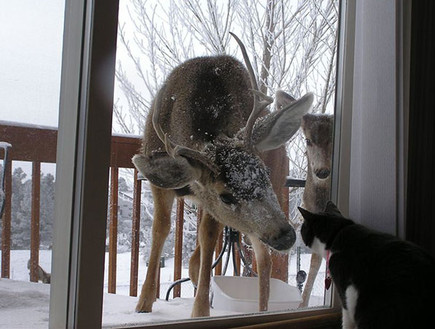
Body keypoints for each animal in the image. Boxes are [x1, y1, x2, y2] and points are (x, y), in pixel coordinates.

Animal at [133, 32, 314, 316]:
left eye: (263, 172)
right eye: (226, 196)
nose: (286, 235)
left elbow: (208, 236)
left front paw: (200, 311)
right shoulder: (165, 184)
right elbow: (161, 228)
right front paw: (144, 302)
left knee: (262, 258)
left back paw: (260, 310)